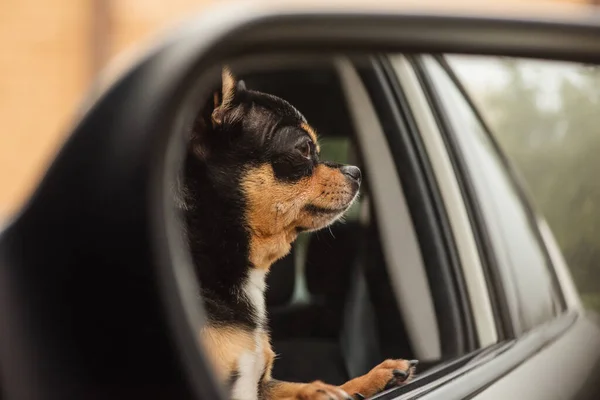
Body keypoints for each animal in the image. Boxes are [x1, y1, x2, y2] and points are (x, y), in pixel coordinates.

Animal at [176, 68, 414, 400]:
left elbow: (312, 385)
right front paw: (324, 391)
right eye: (303, 149)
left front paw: (369, 378)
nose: (356, 171)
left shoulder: (262, 385)